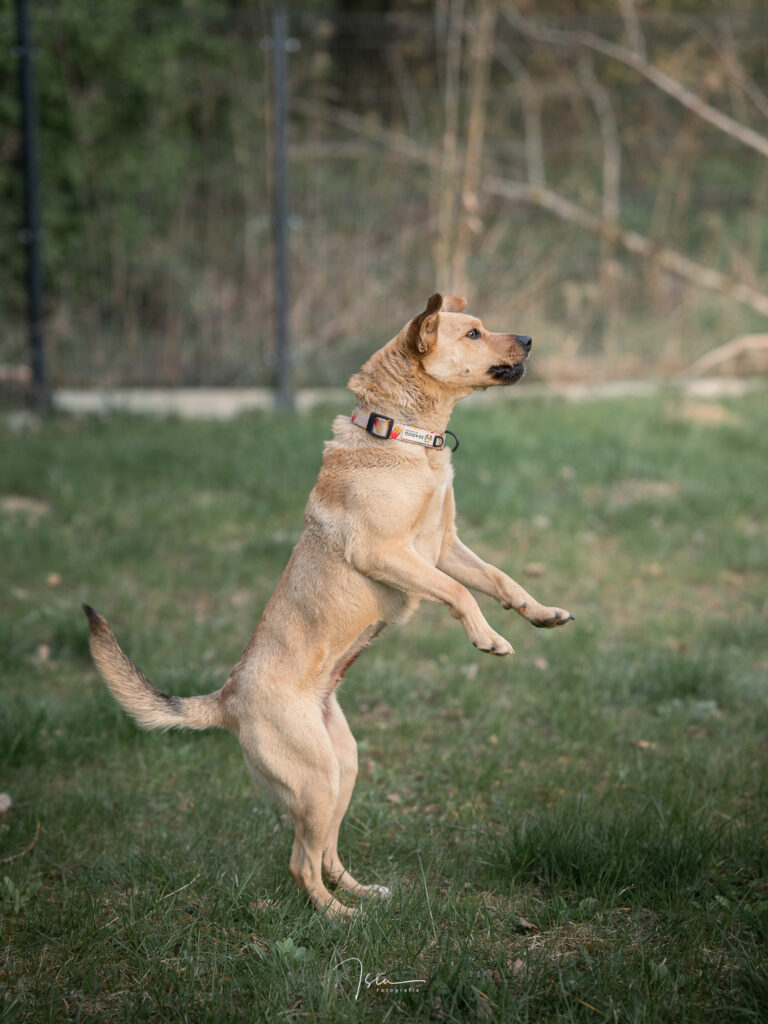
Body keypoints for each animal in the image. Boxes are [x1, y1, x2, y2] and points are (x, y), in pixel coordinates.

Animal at [84, 293, 574, 919]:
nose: (531, 339)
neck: (404, 437)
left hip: (342, 768)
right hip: (316, 779)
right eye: (472, 332)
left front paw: (541, 613)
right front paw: (486, 637)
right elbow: (461, 594)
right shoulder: (391, 554)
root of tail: (225, 699)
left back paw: (362, 892)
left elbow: (499, 580)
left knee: (324, 853)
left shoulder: (445, 547)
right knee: (300, 862)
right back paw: (340, 917)